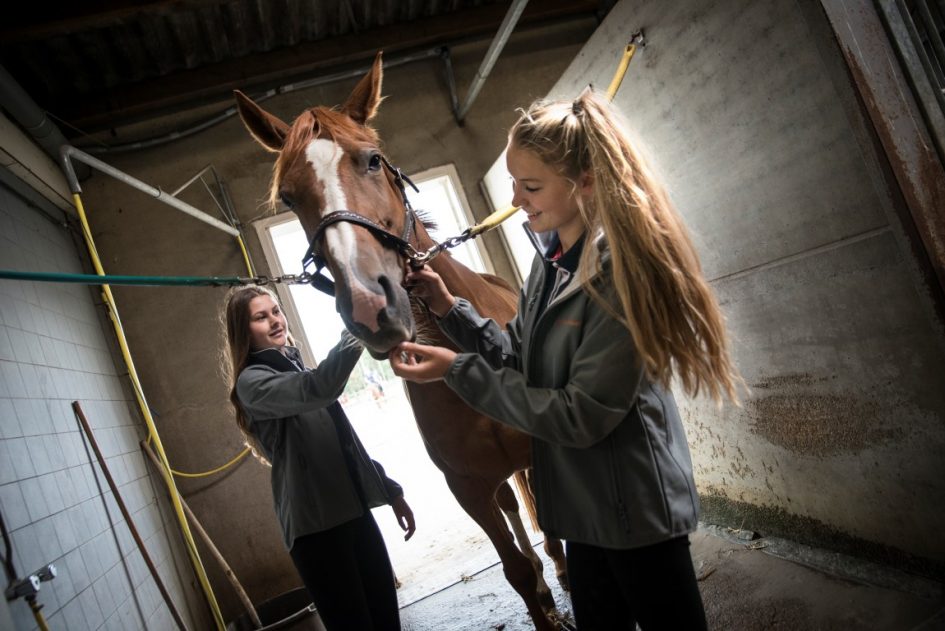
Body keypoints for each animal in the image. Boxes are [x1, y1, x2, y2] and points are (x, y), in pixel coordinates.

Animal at [235, 54, 568, 631]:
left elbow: (560, 538)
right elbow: (519, 572)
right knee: (513, 511)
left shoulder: (543, 451)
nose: (370, 305)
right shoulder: (467, 487)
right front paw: (542, 603)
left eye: (373, 160)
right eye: (290, 197)